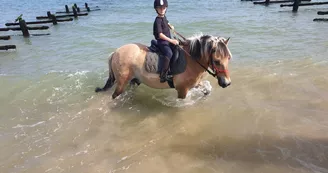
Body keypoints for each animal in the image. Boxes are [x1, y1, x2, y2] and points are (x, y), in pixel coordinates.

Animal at [96, 33, 232, 98]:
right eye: (217, 61)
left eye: (228, 58)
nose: (227, 83)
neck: (190, 60)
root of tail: (115, 52)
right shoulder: (182, 89)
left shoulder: (194, 83)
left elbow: (207, 89)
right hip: (121, 82)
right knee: (115, 95)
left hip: (134, 80)